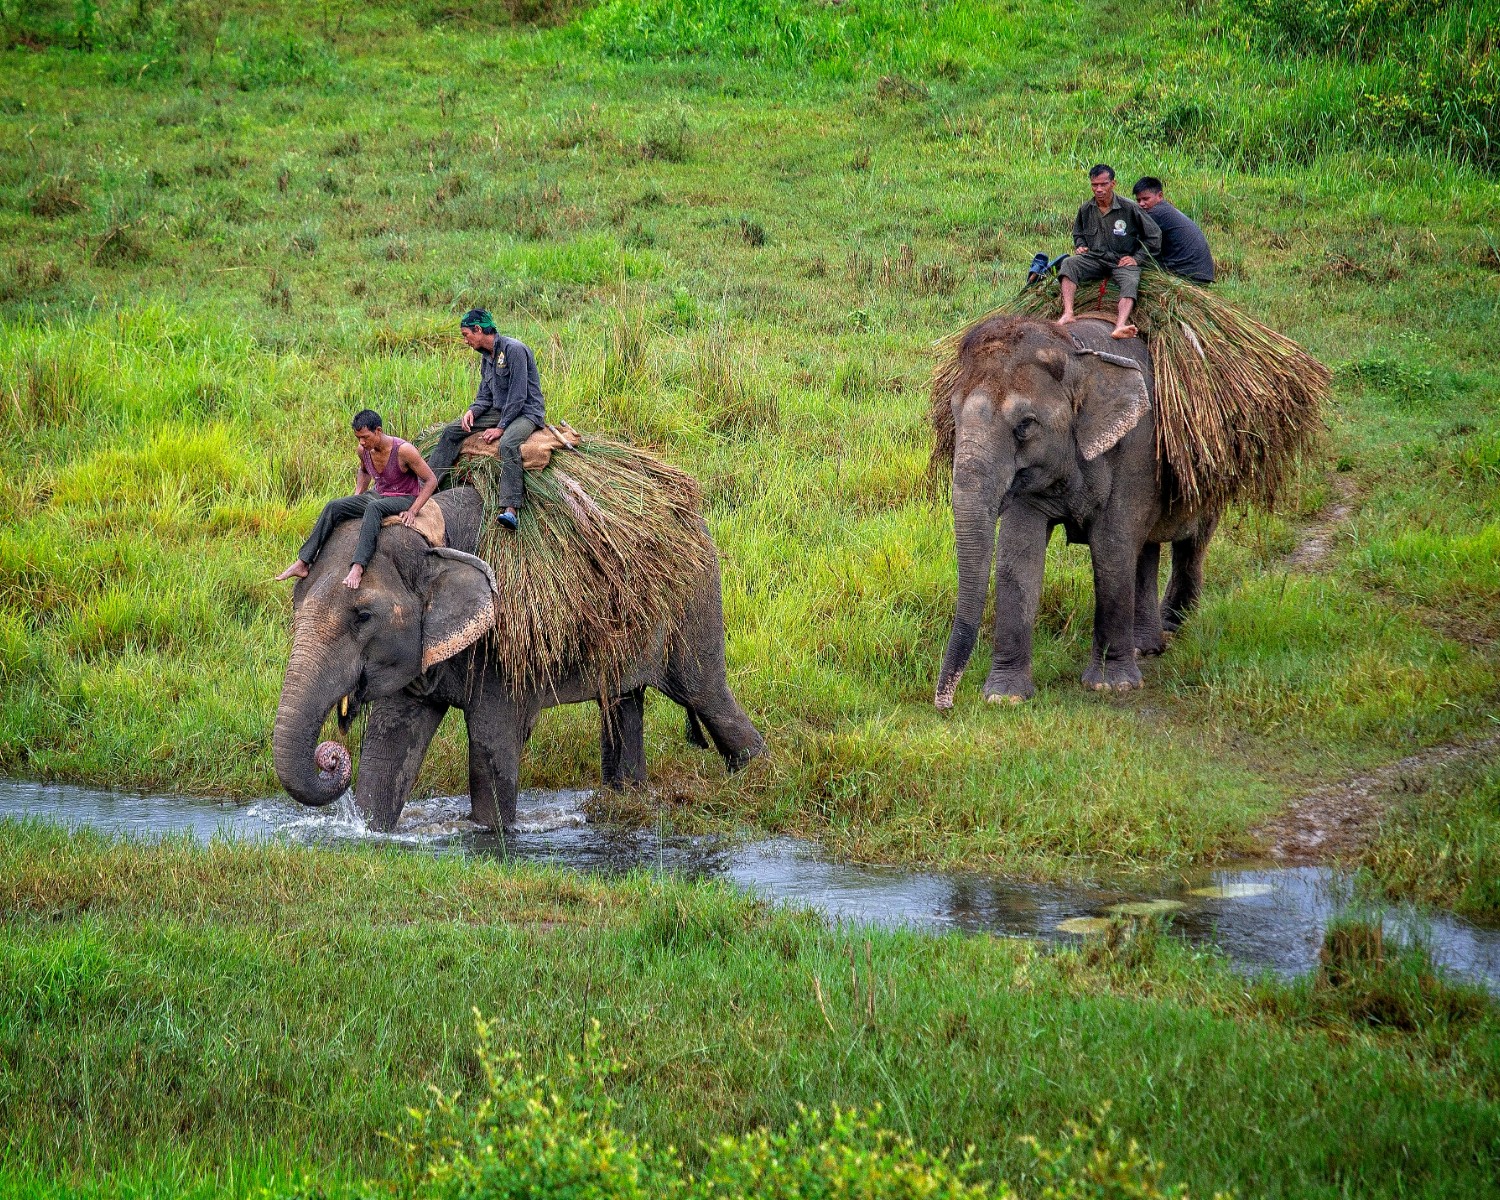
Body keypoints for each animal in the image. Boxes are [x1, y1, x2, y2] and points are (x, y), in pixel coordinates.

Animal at [273, 485, 765, 830]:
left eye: (363, 616)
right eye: (295, 602)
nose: (330, 756)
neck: (432, 536)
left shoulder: (504, 638)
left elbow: (492, 746)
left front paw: (492, 834)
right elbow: (389, 746)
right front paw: (371, 832)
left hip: (694, 598)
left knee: (704, 694)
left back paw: (756, 777)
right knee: (623, 705)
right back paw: (626, 799)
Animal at [933, 314, 1219, 708]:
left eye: (1025, 425)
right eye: (953, 416)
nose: (944, 704)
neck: (1074, 350)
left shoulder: (1137, 446)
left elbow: (1111, 549)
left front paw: (1111, 687)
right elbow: (1017, 559)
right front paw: (1005, 697)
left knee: (1191, 538)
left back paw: (1172, 627)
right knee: (1145, 547)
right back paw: (1146, 647)